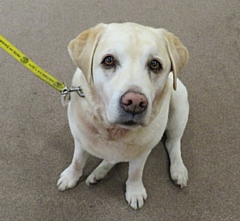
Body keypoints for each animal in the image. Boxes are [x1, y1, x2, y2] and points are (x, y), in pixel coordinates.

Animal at [56, 22, 189, 209]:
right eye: (109, 60)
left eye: (154, 64)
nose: (135, 102)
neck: (113, 131)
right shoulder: (80, 140)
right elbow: (77, 161)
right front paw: (71, 177)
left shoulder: (142, 152)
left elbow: (135, 173)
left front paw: (134, 191)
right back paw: (98, 173)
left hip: (179, 102)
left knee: (173, 142)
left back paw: (178, 170)